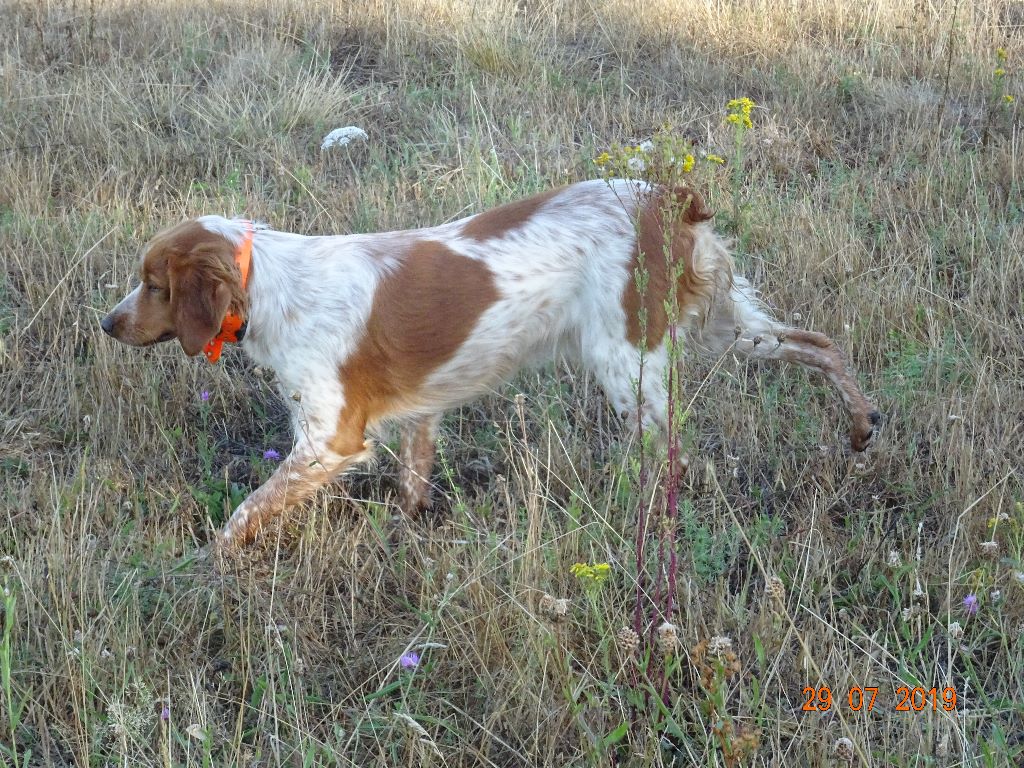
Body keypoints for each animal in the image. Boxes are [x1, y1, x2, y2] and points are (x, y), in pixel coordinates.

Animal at [99, 179, 876, 548]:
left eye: (153, 285)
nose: (107, 323)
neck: (268, 284)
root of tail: (664, 196)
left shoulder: (329, 441)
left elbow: (242, 516)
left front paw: (209, 568)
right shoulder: (418, 413)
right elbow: (414, 483)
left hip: (627, 362)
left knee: (672, 460)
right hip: (719, 327)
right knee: (820, 343)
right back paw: (863, 424)